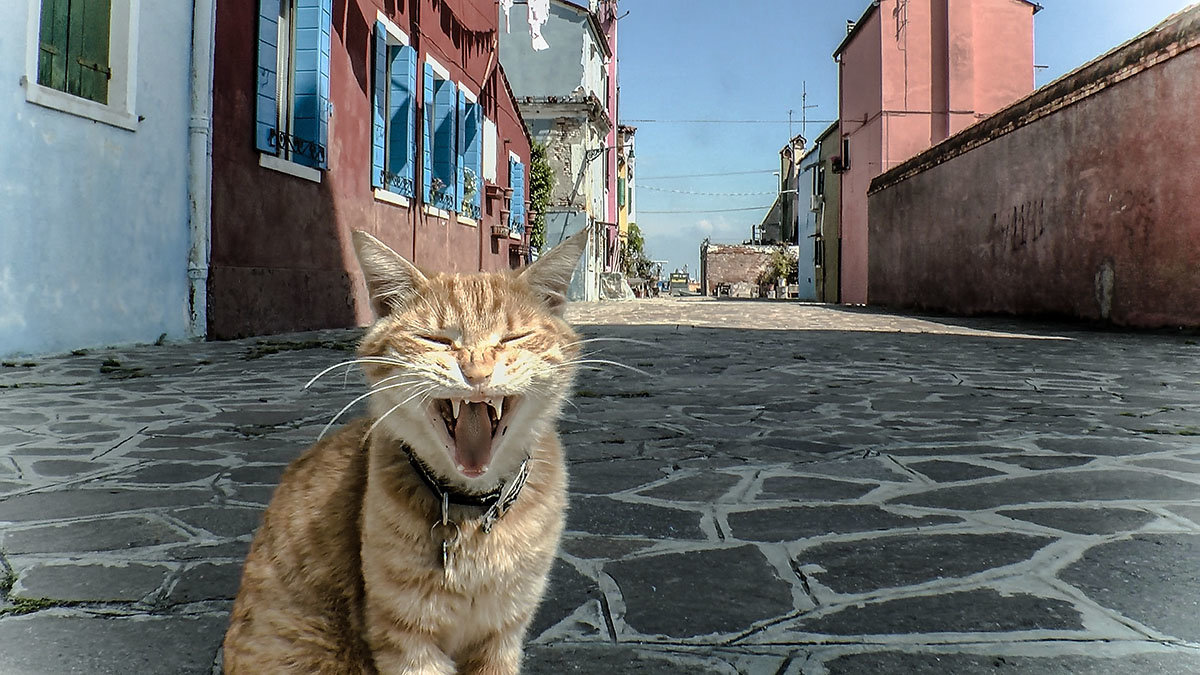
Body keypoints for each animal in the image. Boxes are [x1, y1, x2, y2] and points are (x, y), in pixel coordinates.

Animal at [224, 228, 590, 667]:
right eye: (436, 340)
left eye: (513, 338)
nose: (476, 373)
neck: (470, 511)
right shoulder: (407, 642)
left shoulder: (503, 634)